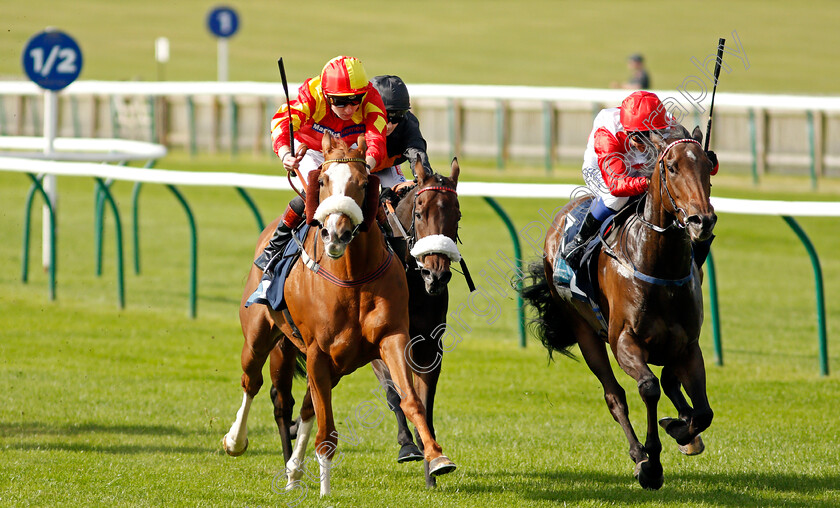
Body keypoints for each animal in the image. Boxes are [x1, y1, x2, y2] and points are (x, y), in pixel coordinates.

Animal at [221, 134, 452, 496]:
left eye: (457, 214)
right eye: (419, 212)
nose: (436, 274)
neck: (353, 275)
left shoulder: (398, 339)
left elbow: (412, 399)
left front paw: (435, 458)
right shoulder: (319, 351)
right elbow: (328, 424)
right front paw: (326, 491)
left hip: (332, 361)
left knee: (302, 406)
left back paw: (293, 470)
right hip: (262, 337)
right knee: (260, 386)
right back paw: (239, 442)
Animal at [520, 125, 720, 490]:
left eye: (707, 165)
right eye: (671, 167)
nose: (702, 221)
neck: (659, 267)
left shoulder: (688, 345)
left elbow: (702, 412)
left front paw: (681, 429)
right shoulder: (625, 341)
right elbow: (648, 388)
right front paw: (651, 463)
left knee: (670, 383)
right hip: (585, 333)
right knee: (615, 396)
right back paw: (639, 453)